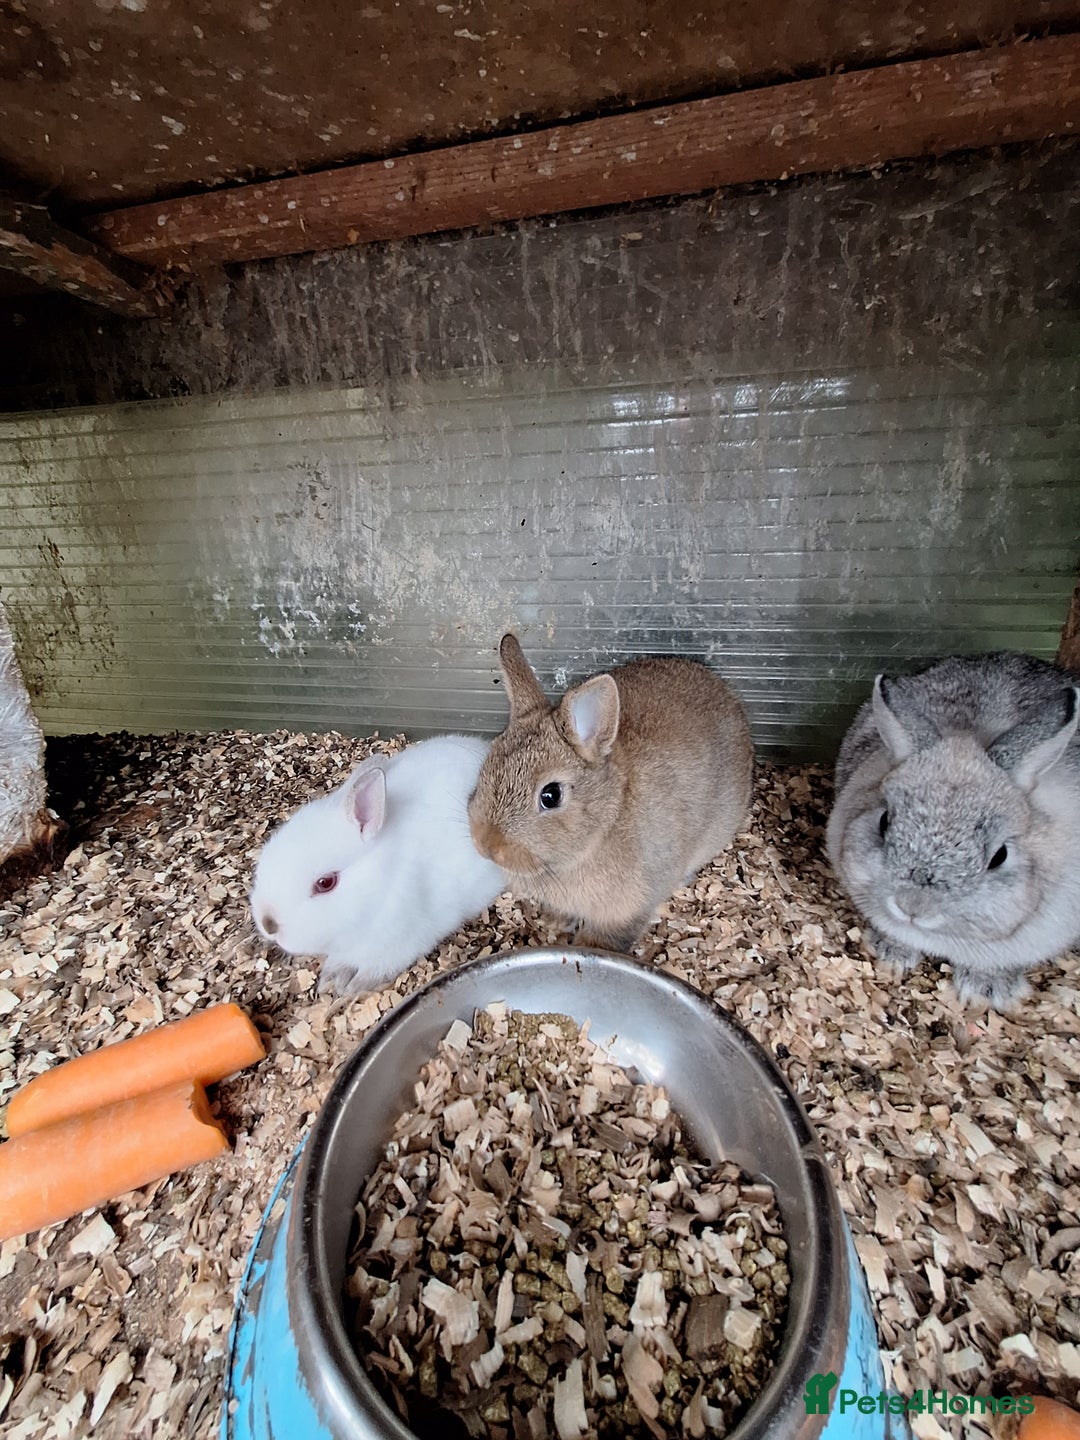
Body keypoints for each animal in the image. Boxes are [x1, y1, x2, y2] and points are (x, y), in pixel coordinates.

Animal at [467, 634, 754, 952]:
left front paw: (589, 947)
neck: (604, 826)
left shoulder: (630, 907)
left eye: (551, 795)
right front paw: (555, 922)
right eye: (487, 766)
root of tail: (728, 695)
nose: (485, 844)